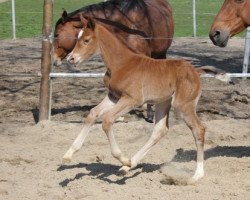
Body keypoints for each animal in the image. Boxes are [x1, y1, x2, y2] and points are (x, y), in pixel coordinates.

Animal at [63, 16, 205, 181]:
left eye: (86, 40)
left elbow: (107, 120)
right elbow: (92, 114)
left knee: (198, 129)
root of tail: (195, 71)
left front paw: (123, 158)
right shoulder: (113, 97)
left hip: (182, 105)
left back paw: (197, 175)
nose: (71, 59)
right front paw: (68, 155)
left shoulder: (132, 99)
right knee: (160, 130)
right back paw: (127, 167)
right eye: (78, 38)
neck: (121, 63)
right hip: (163, 102)